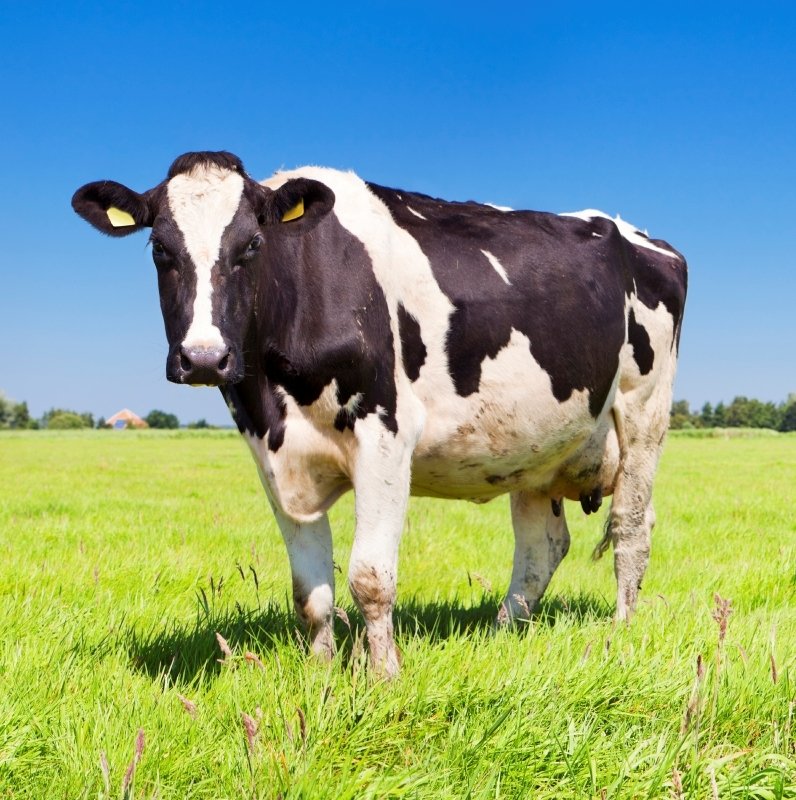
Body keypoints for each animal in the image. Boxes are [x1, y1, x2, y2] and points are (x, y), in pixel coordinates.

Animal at [72, 151, 687, 677]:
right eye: (160, 249)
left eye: (251, 244)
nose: (204, 358)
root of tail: (638, 234)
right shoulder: (271, 454)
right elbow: (310, 589)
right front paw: (320, 673)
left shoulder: (385, 434)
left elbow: (370, 577)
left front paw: (383, 675)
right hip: (537, 445)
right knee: (543, 547)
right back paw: (501, 632)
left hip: (644, 411)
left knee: (631, 527)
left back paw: (619, 632)